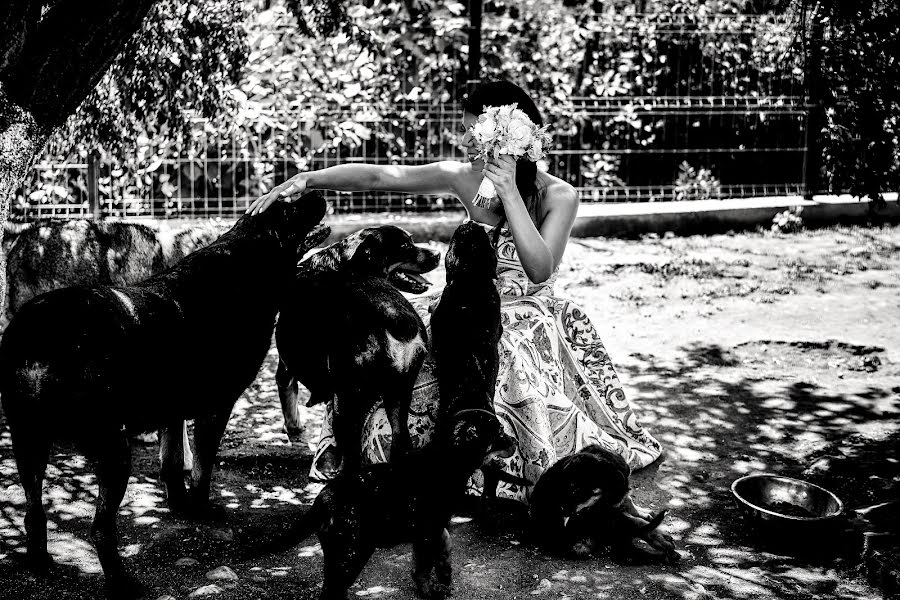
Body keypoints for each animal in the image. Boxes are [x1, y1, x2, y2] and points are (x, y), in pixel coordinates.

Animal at [0, 192, 328, 596]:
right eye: (290, 208)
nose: (319, 192)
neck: (244, 262)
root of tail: (33, 335)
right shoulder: (215, 407)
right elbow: (202, 470)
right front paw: (201, 511)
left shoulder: (171, 411)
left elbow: (172, 465)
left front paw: (178, 504)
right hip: (113, 450)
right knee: (100, 528)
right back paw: (122, 583)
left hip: (30, 444)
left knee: (34, 513)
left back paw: (41, 563)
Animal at [256, 408, 516, 600]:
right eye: (500, 432)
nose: (514, 440)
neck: (448, 461)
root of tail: (322, 498)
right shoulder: (429, 529)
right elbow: (425, 565)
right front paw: (432, 591)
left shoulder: (429, 528)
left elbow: (438, 552)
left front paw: (444, 576)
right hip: (352, 552)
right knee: (332, 590)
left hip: (337, 553)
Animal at [276, 225, 442, 468]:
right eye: (405, 245)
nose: (438, 254)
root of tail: (393, 317)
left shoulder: (287, 363)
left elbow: (288, 393)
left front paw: (294, 429)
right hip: (399, 395)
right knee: (401, 443)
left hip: (346, 402)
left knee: (352, 457)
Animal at [528, 442, 676, 564]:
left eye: (576, 491)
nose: (561, 512)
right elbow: (632, 515)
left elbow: (628, 501)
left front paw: (642, 512)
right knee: (631, 543)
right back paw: (664, 550)